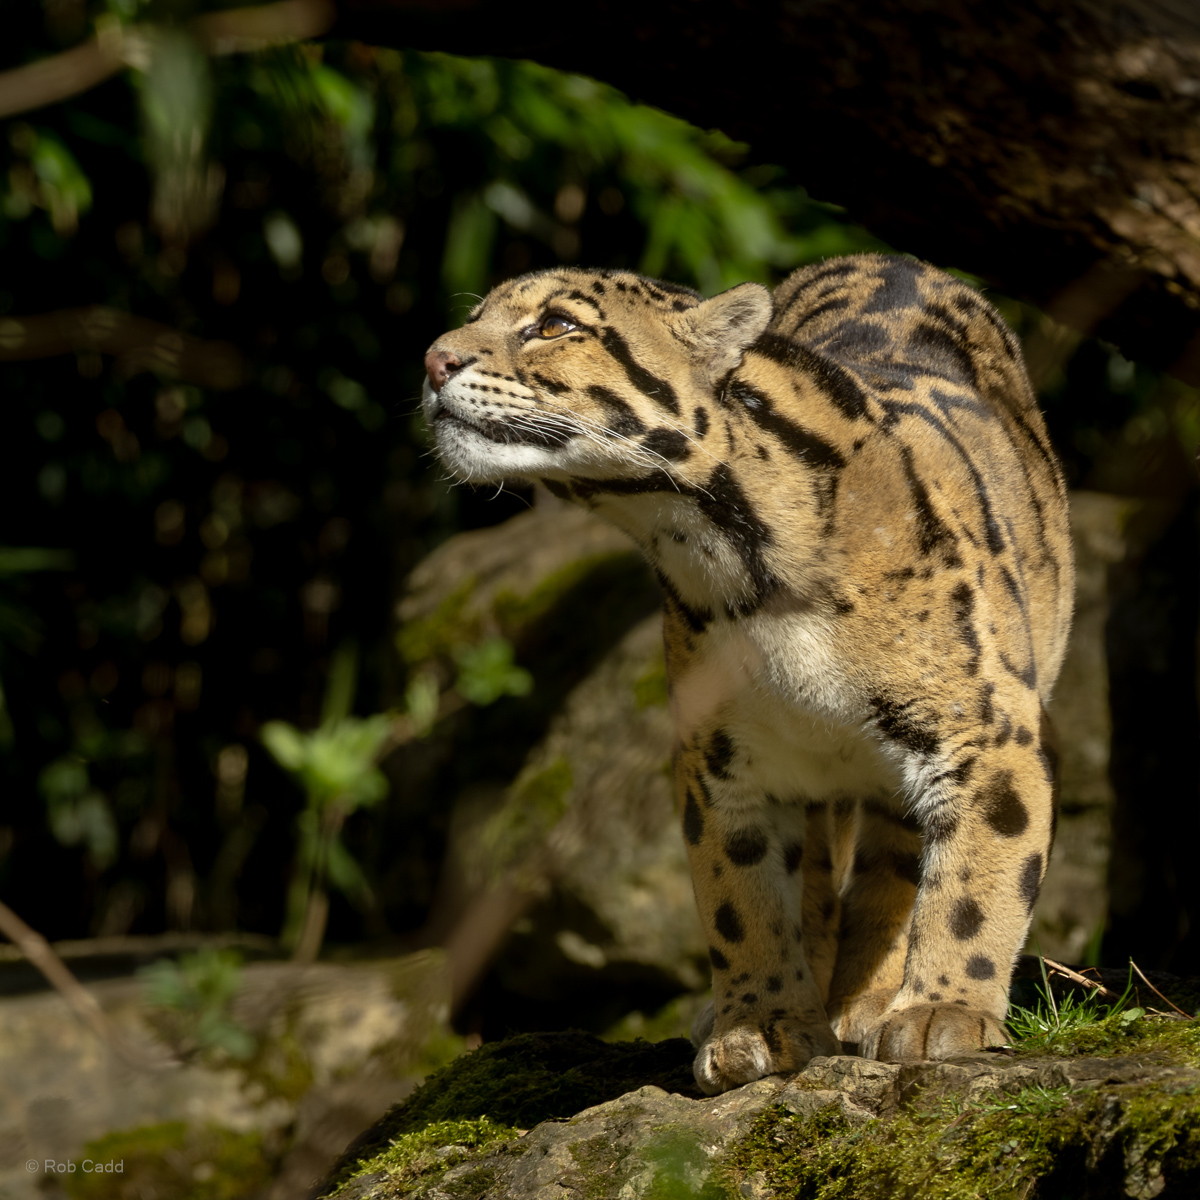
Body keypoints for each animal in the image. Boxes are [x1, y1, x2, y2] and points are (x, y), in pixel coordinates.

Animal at [421, 253, 1073, 1095]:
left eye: (557, 324)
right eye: (478, 317)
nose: (434, 360)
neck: (725, 552)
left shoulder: (983, 731)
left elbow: (976, 879)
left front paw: (941, 1012)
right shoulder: (723, 757)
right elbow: (742, 896)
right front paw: (760, 1024)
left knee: (897, 862)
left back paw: (870, 1000)